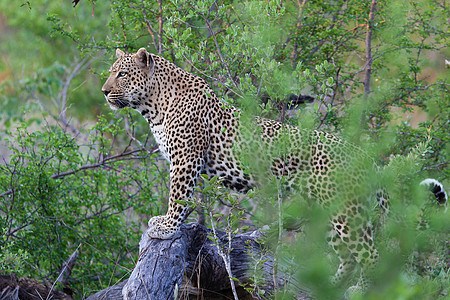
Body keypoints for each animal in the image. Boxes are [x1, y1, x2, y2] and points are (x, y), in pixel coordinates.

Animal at [102, 47, 446, 292]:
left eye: (121, 74)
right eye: (110, 74)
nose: (104, 91)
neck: (153, 104)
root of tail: (362, 153)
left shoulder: (186, 160)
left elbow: (178, 197)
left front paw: (166, 226)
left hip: (345, 212)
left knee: (371, 256)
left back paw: (358, 291)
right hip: (326, 209)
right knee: (349, 256)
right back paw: (329, 288)